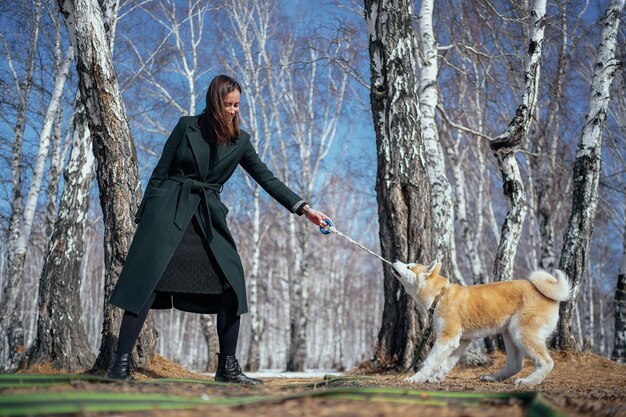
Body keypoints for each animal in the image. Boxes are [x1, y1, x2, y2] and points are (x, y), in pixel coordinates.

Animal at [390, 258, 572, 386]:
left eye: (409, 267)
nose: (394, 261)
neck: (440, 294)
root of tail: (551, 295)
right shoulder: (461, 341)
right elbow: (447, 363)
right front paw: (436, 378)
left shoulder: (447, 338)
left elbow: (430, 362)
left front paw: (415, 379)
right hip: (510, 334)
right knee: (515, 365)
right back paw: (492, 378)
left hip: (521, 333)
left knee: (546, 363)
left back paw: (528, 382)